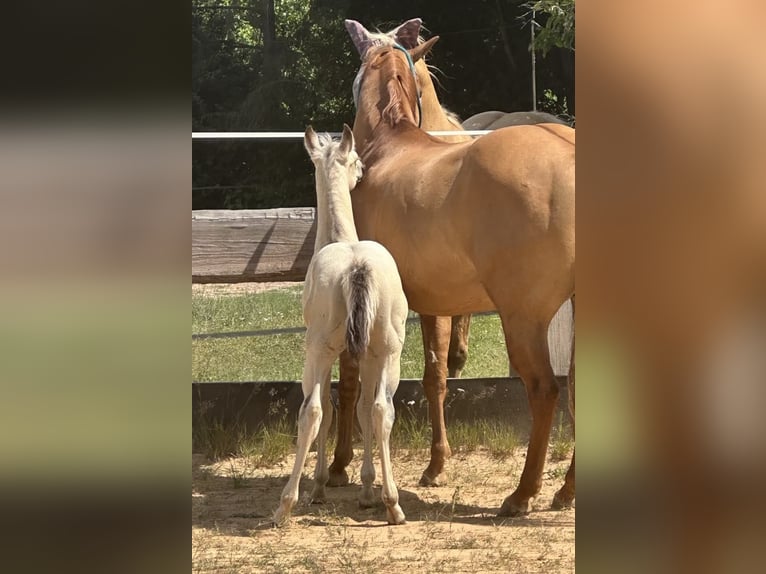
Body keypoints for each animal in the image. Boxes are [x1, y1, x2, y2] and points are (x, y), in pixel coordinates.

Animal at [273, 125, 409, 525]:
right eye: (356, 161)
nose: (361, 174)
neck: (341, 240)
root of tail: (356, 267)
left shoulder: (329, 354)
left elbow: (329, 409)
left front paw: (320, 487)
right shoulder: (363, 355)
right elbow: (362, 408)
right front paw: (365, 490)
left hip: (317, 351)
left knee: (313, 411)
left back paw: (285, 505)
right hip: (388, 352)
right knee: (381, 410)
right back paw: (393, 504)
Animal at [346, 37, 575, 516]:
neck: (389, 145)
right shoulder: (438, 302)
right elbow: (436, 378)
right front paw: (436, 465)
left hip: (523, 318)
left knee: (545, 390)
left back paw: (523, 493)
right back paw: (565, 491)